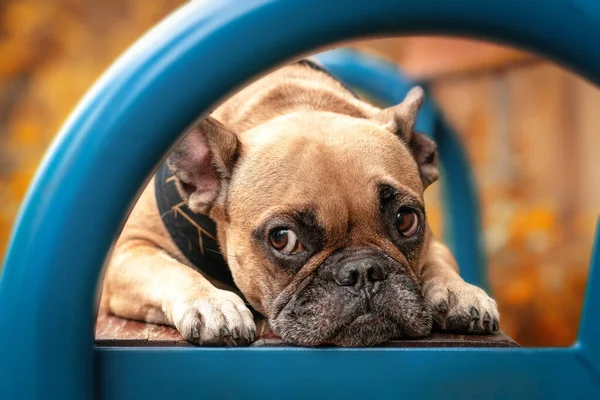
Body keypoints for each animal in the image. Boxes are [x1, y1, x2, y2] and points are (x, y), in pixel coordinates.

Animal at [101, 59, 500, 346]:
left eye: (406, 220)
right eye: (283, 239)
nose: (363, 271)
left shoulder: (432, 239)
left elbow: (440, 260)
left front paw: (459, 291)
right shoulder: (129, 251)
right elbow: (171, 269)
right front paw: (212, 302)